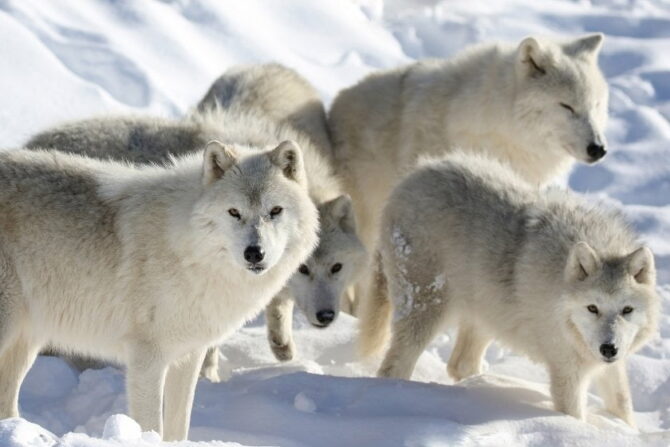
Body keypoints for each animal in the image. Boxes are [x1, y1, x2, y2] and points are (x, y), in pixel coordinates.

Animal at [0, 141, 318, 440]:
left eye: (275, 211)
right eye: (234, 212)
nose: (254, 253)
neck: (188, 250)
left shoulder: (190, 354)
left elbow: (179, 424)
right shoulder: (147, 357)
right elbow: (152, 424)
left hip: (26, 342)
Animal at [360, 153, 659, 427]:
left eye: (627, 310)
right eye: (592, 308)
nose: (608, 348)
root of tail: (410, 178)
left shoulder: (611, 366)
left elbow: (623, 407)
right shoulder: (567, 372)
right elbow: (574, 417)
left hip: (485, 316)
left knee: (460, 364)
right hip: (427, 314)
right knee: (393, 368)